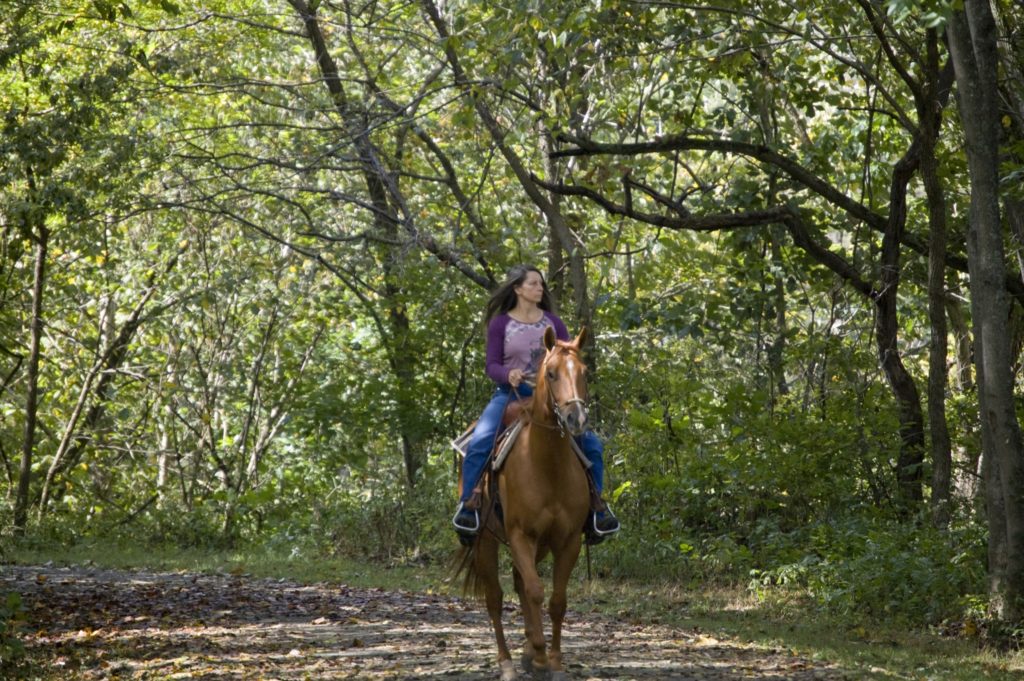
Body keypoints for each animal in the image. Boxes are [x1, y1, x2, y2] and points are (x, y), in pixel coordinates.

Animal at [458, 323, 593, 679]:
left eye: (584, 372)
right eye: (552, 372)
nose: (575, 419)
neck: (547, 465)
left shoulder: (567, 540)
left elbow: (556, 600)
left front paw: (553, 662)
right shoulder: (520, 535)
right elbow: (534, 591)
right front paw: (542, 656)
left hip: (539, 545)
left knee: (520, 583)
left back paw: (528, 653)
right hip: (486, 541)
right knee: (495, 597)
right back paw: (508, 662)